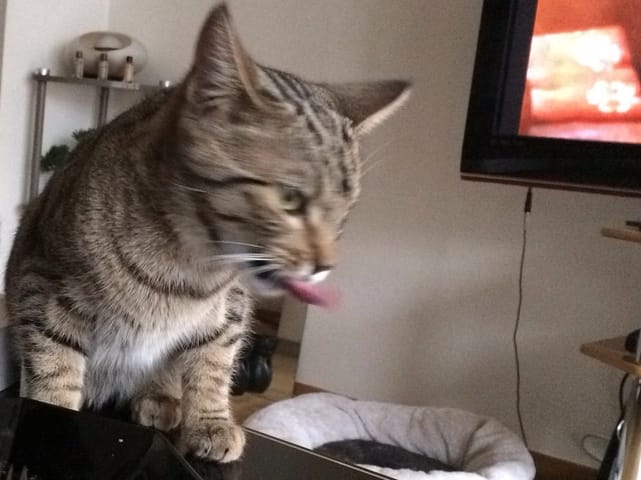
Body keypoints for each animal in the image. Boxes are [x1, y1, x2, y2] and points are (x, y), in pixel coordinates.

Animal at [4, 3, 410, 463]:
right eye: (290, 199)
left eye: (344, 214)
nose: (326, 265)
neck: (188, 269)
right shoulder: (43, 294)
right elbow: (54, 372)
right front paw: (48, 425)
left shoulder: (231, 309)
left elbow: (213, 365)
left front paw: (210, 421)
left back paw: (160, 397)